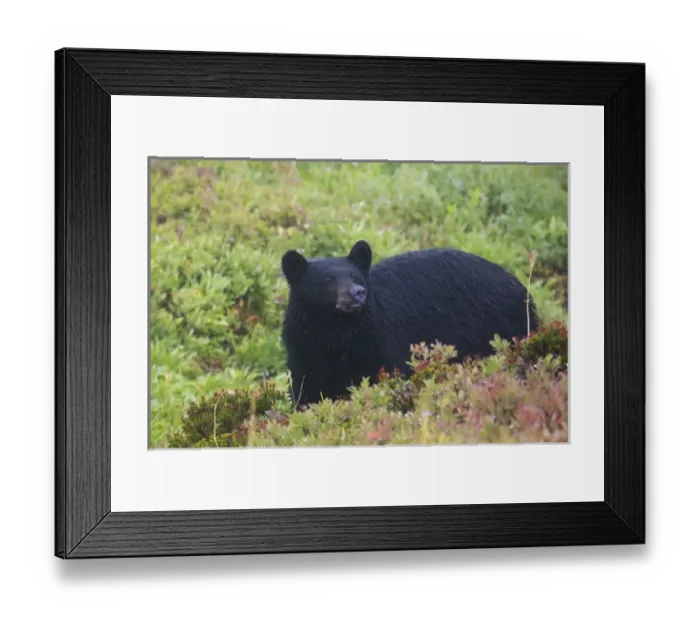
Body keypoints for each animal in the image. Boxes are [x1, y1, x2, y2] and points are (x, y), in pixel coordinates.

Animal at [280, 240, 539, 407]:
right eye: (327, 281)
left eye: (355, 276)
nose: (358, 293)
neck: (335, 332)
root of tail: (523, 290)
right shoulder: (304, 348)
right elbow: (306, 389)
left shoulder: (380, 340)